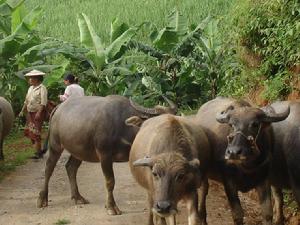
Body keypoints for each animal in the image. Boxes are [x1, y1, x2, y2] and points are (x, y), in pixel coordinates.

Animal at [36, 94, 177, 214]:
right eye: (158, 123)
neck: (124, 127)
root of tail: (59, 108)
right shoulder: (105, 155)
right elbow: (110, 181)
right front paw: (111, 207)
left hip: (79, 150)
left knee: (71, 167)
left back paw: (78, 197)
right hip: (55, 145)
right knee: (49, 168)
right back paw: (42, 199)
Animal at [196, 97, 290, 225]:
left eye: (255, 124)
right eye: (231, 125)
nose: (233, 152)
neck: (247, 165)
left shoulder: (264, 179)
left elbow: (267, 213)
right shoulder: (229, 181)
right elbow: (238, 214)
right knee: (202, 196)